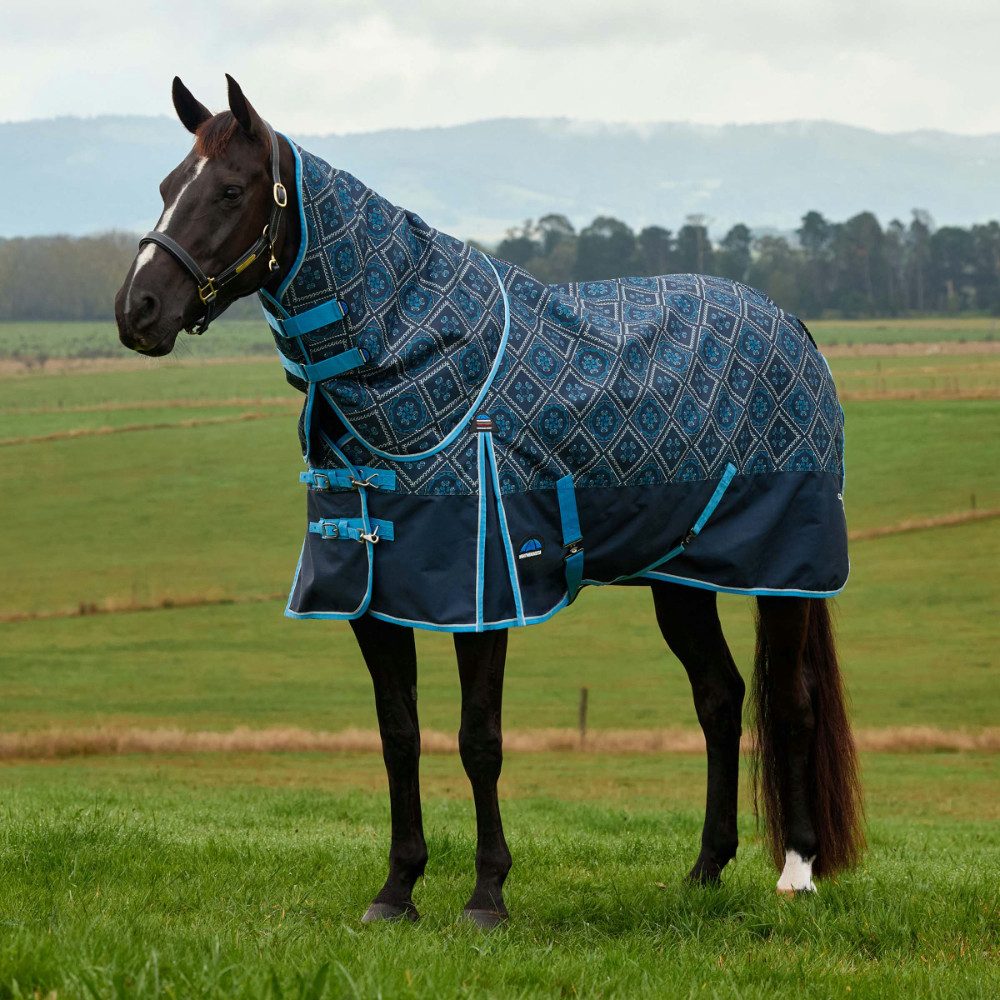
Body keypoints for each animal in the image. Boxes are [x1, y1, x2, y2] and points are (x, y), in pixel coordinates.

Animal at [115, 75, 864, 928]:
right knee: (719, 696)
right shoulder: (377, 593)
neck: (417, 363)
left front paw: (486, 896)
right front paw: (396, 891)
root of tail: (795, 327)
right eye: (168, 187)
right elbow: (398, 735)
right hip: (681, 576)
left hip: (785, 573)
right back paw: (704, 871)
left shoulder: (481, 593)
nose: (137, 310)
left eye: (230, 191)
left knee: (792, 701)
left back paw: (797, 873)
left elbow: (480, 738)